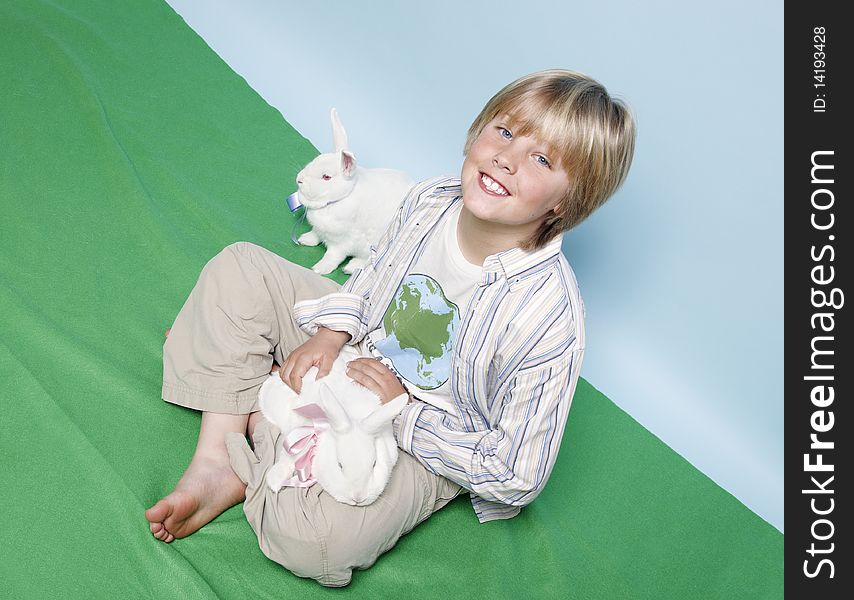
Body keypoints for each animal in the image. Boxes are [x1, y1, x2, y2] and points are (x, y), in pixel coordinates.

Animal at [294, 108, 414, 274]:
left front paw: (319, 269)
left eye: (326, 177)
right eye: (314, 161)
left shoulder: (342, 243)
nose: (299, 179)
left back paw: (350, 267)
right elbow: (315, 235)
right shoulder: (319, 230)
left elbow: (332, 256)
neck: (339, 199)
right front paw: (305, 239)